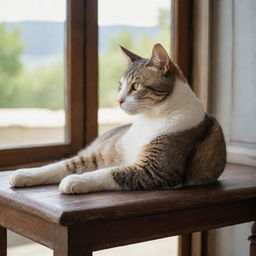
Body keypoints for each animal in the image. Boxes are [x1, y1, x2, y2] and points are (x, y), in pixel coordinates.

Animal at [9, 43, 226, 194]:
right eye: (120, 85)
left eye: (136, 87)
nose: (118, 100)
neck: (150, 118)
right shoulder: (104, 154)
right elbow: (64, 165)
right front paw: (24, 174)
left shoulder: (155, 169)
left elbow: (108, 172)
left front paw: (75, 180)